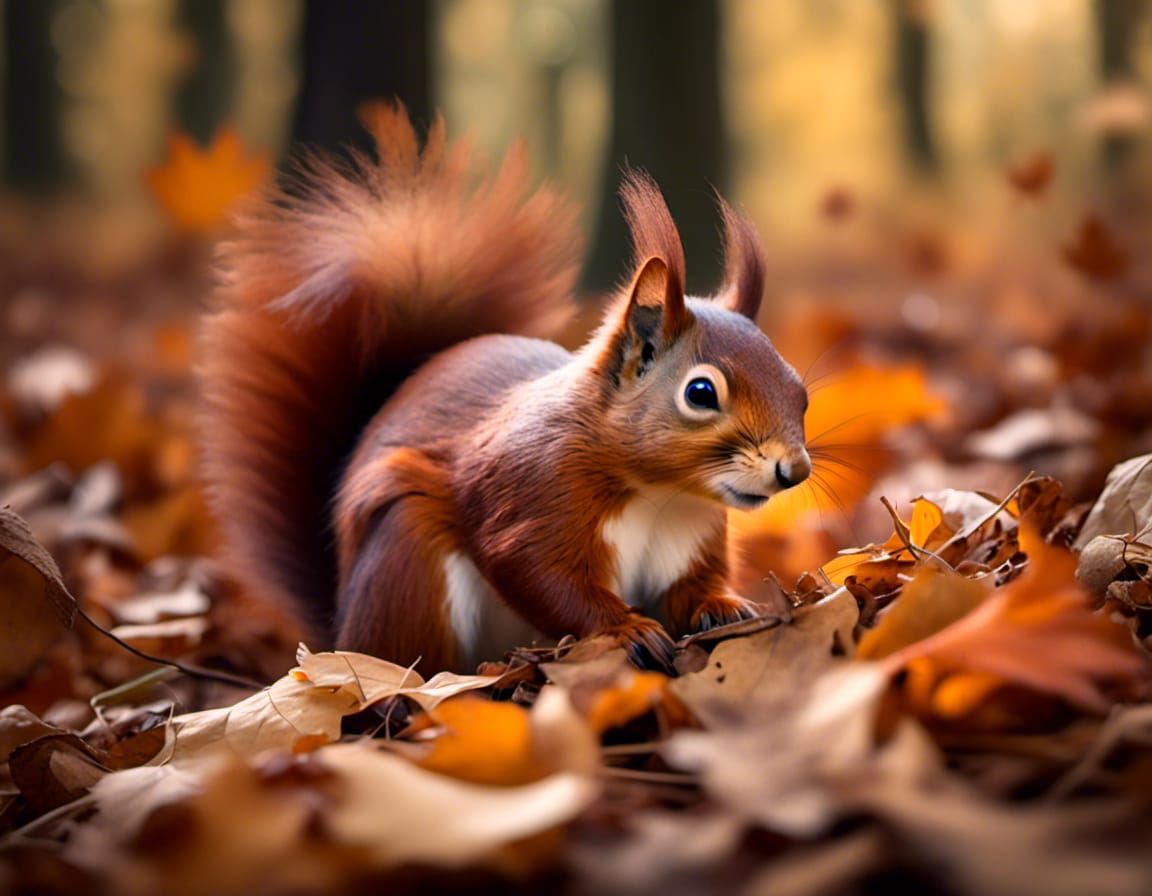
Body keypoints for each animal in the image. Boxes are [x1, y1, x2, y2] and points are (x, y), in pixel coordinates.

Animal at [201, 104, 810, 675]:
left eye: (800, 390)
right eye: (701, 393)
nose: (795, 470)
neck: (658, 493)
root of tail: (340, 628)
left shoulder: (689, 539)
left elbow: (692, 586)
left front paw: (723, 605)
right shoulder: (529, 491)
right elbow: (539, 576)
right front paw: (626, 629)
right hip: (408, 565)